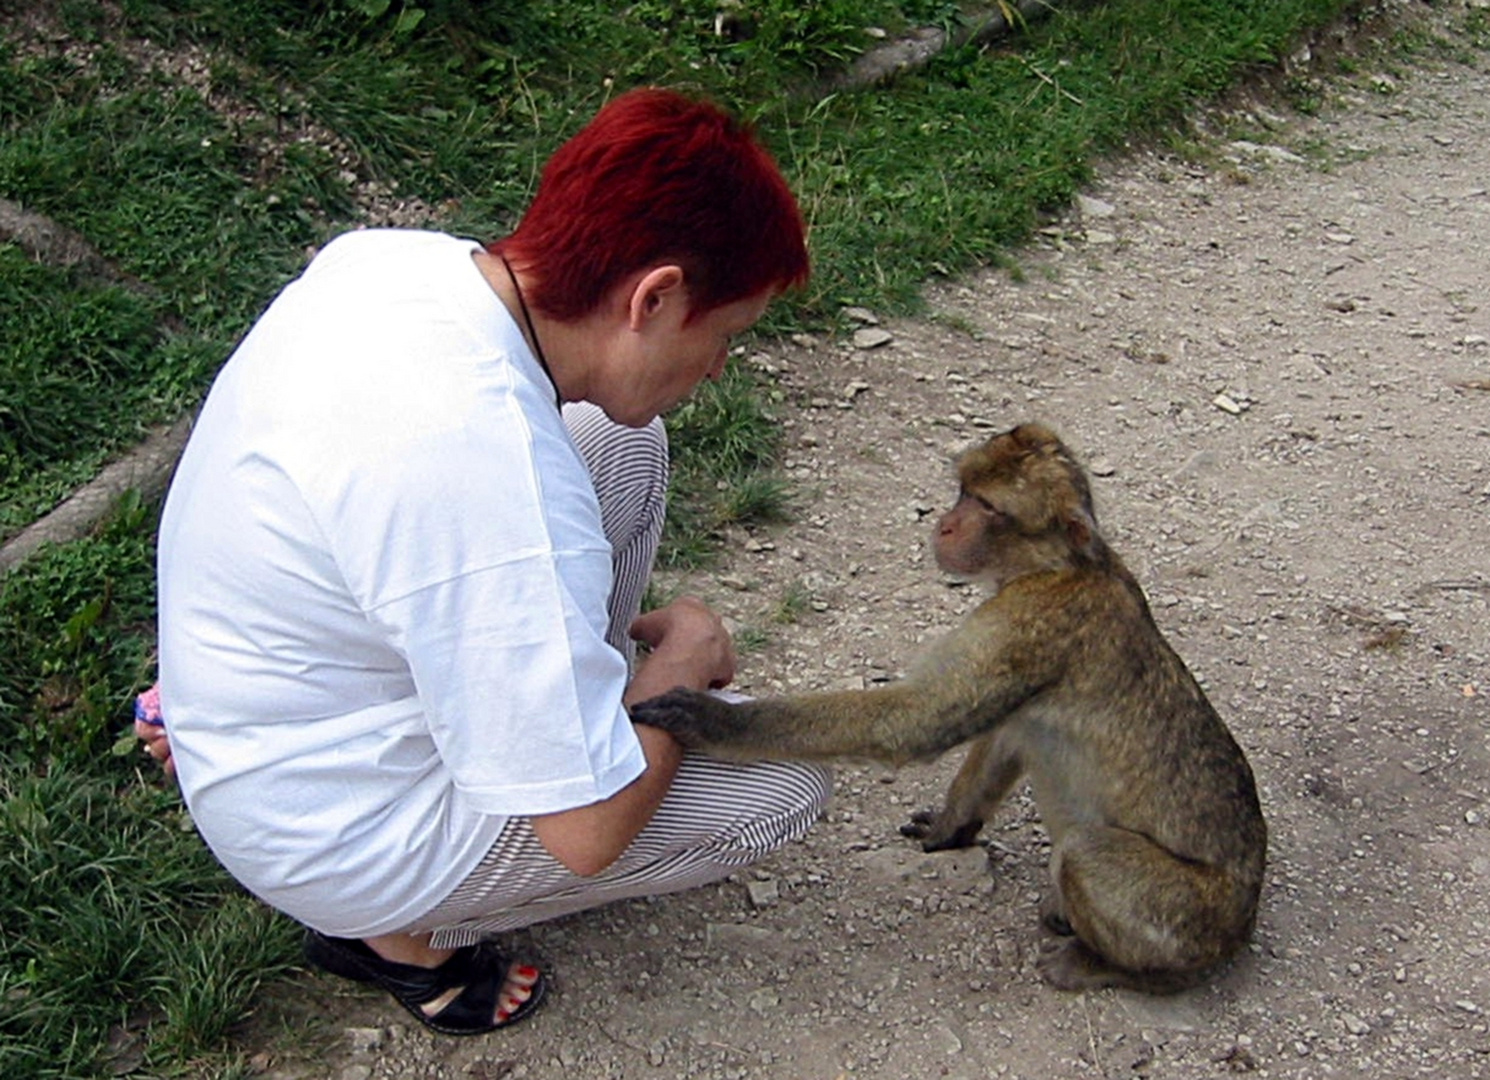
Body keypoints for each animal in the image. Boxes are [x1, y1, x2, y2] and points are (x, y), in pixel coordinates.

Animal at [631, 423, 1269, 995]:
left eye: (985, 505)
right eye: (963, 491)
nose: (944, 522)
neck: (1055, 565)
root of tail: (1244, 920)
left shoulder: (1026, 624)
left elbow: (913, 721)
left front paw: (718, 722)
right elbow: (1002, 739)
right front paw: (950, 827)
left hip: (1185, 920)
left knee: (1088, 854)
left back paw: (1119, 970)